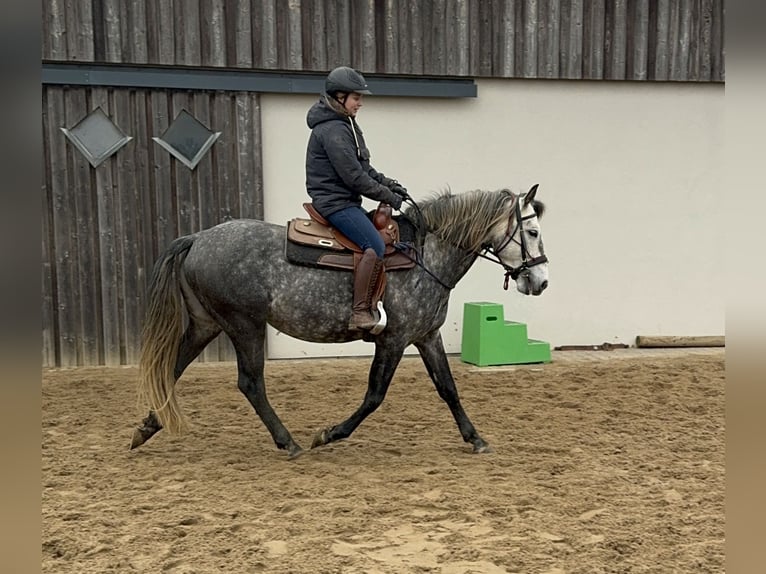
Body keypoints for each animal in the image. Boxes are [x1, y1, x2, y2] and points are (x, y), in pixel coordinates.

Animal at [134, 187, 552, 462]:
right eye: (532, 232)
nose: (541, 281)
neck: (424, 256)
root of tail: (197, 238)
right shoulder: (394, 340)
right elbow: (374, 396)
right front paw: (329, 434)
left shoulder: (426, 336)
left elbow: (449, 389)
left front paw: (475, 438)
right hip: (244, 325)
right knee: (250, 384)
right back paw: (289, 442)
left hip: (206, 324)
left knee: (171, 370)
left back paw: (146, 428)